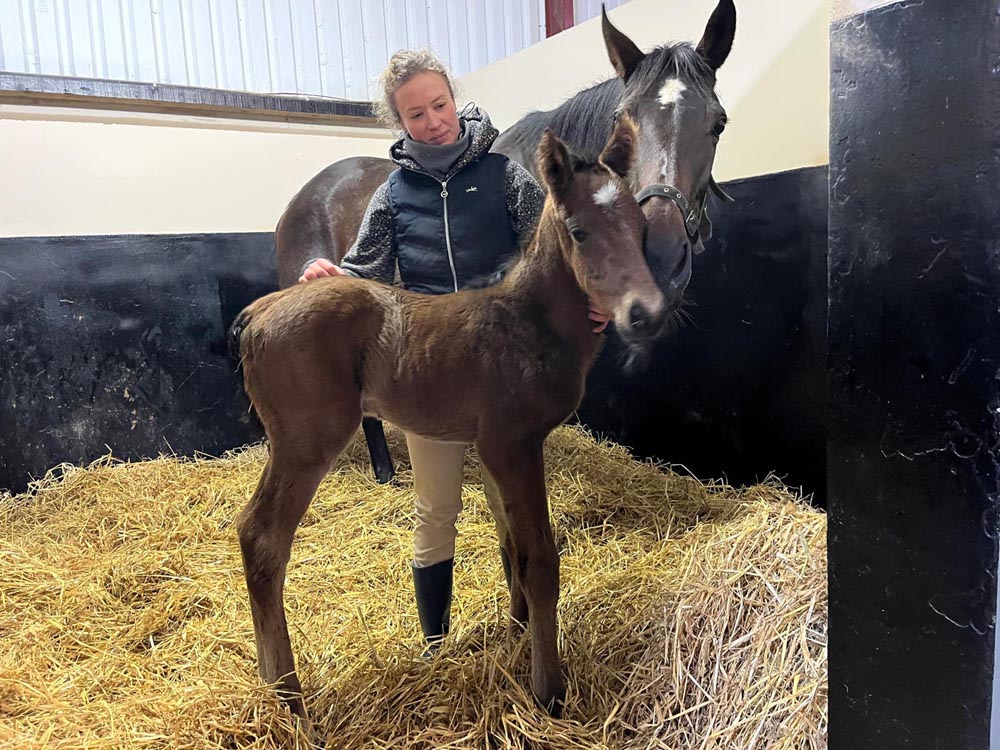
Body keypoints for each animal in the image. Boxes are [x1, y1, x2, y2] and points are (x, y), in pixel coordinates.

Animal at [232, 116, 660, 725]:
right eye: (578, 231)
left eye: (641, 226)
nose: (646, 313)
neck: (528, 321)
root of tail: (259, 311)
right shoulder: (513, 442)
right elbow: (541, 559)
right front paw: (548, 690)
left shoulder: (491, 448)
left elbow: (511, 544)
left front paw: (515, 633)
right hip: (305, 441)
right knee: (262, 536)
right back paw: (289, 696)